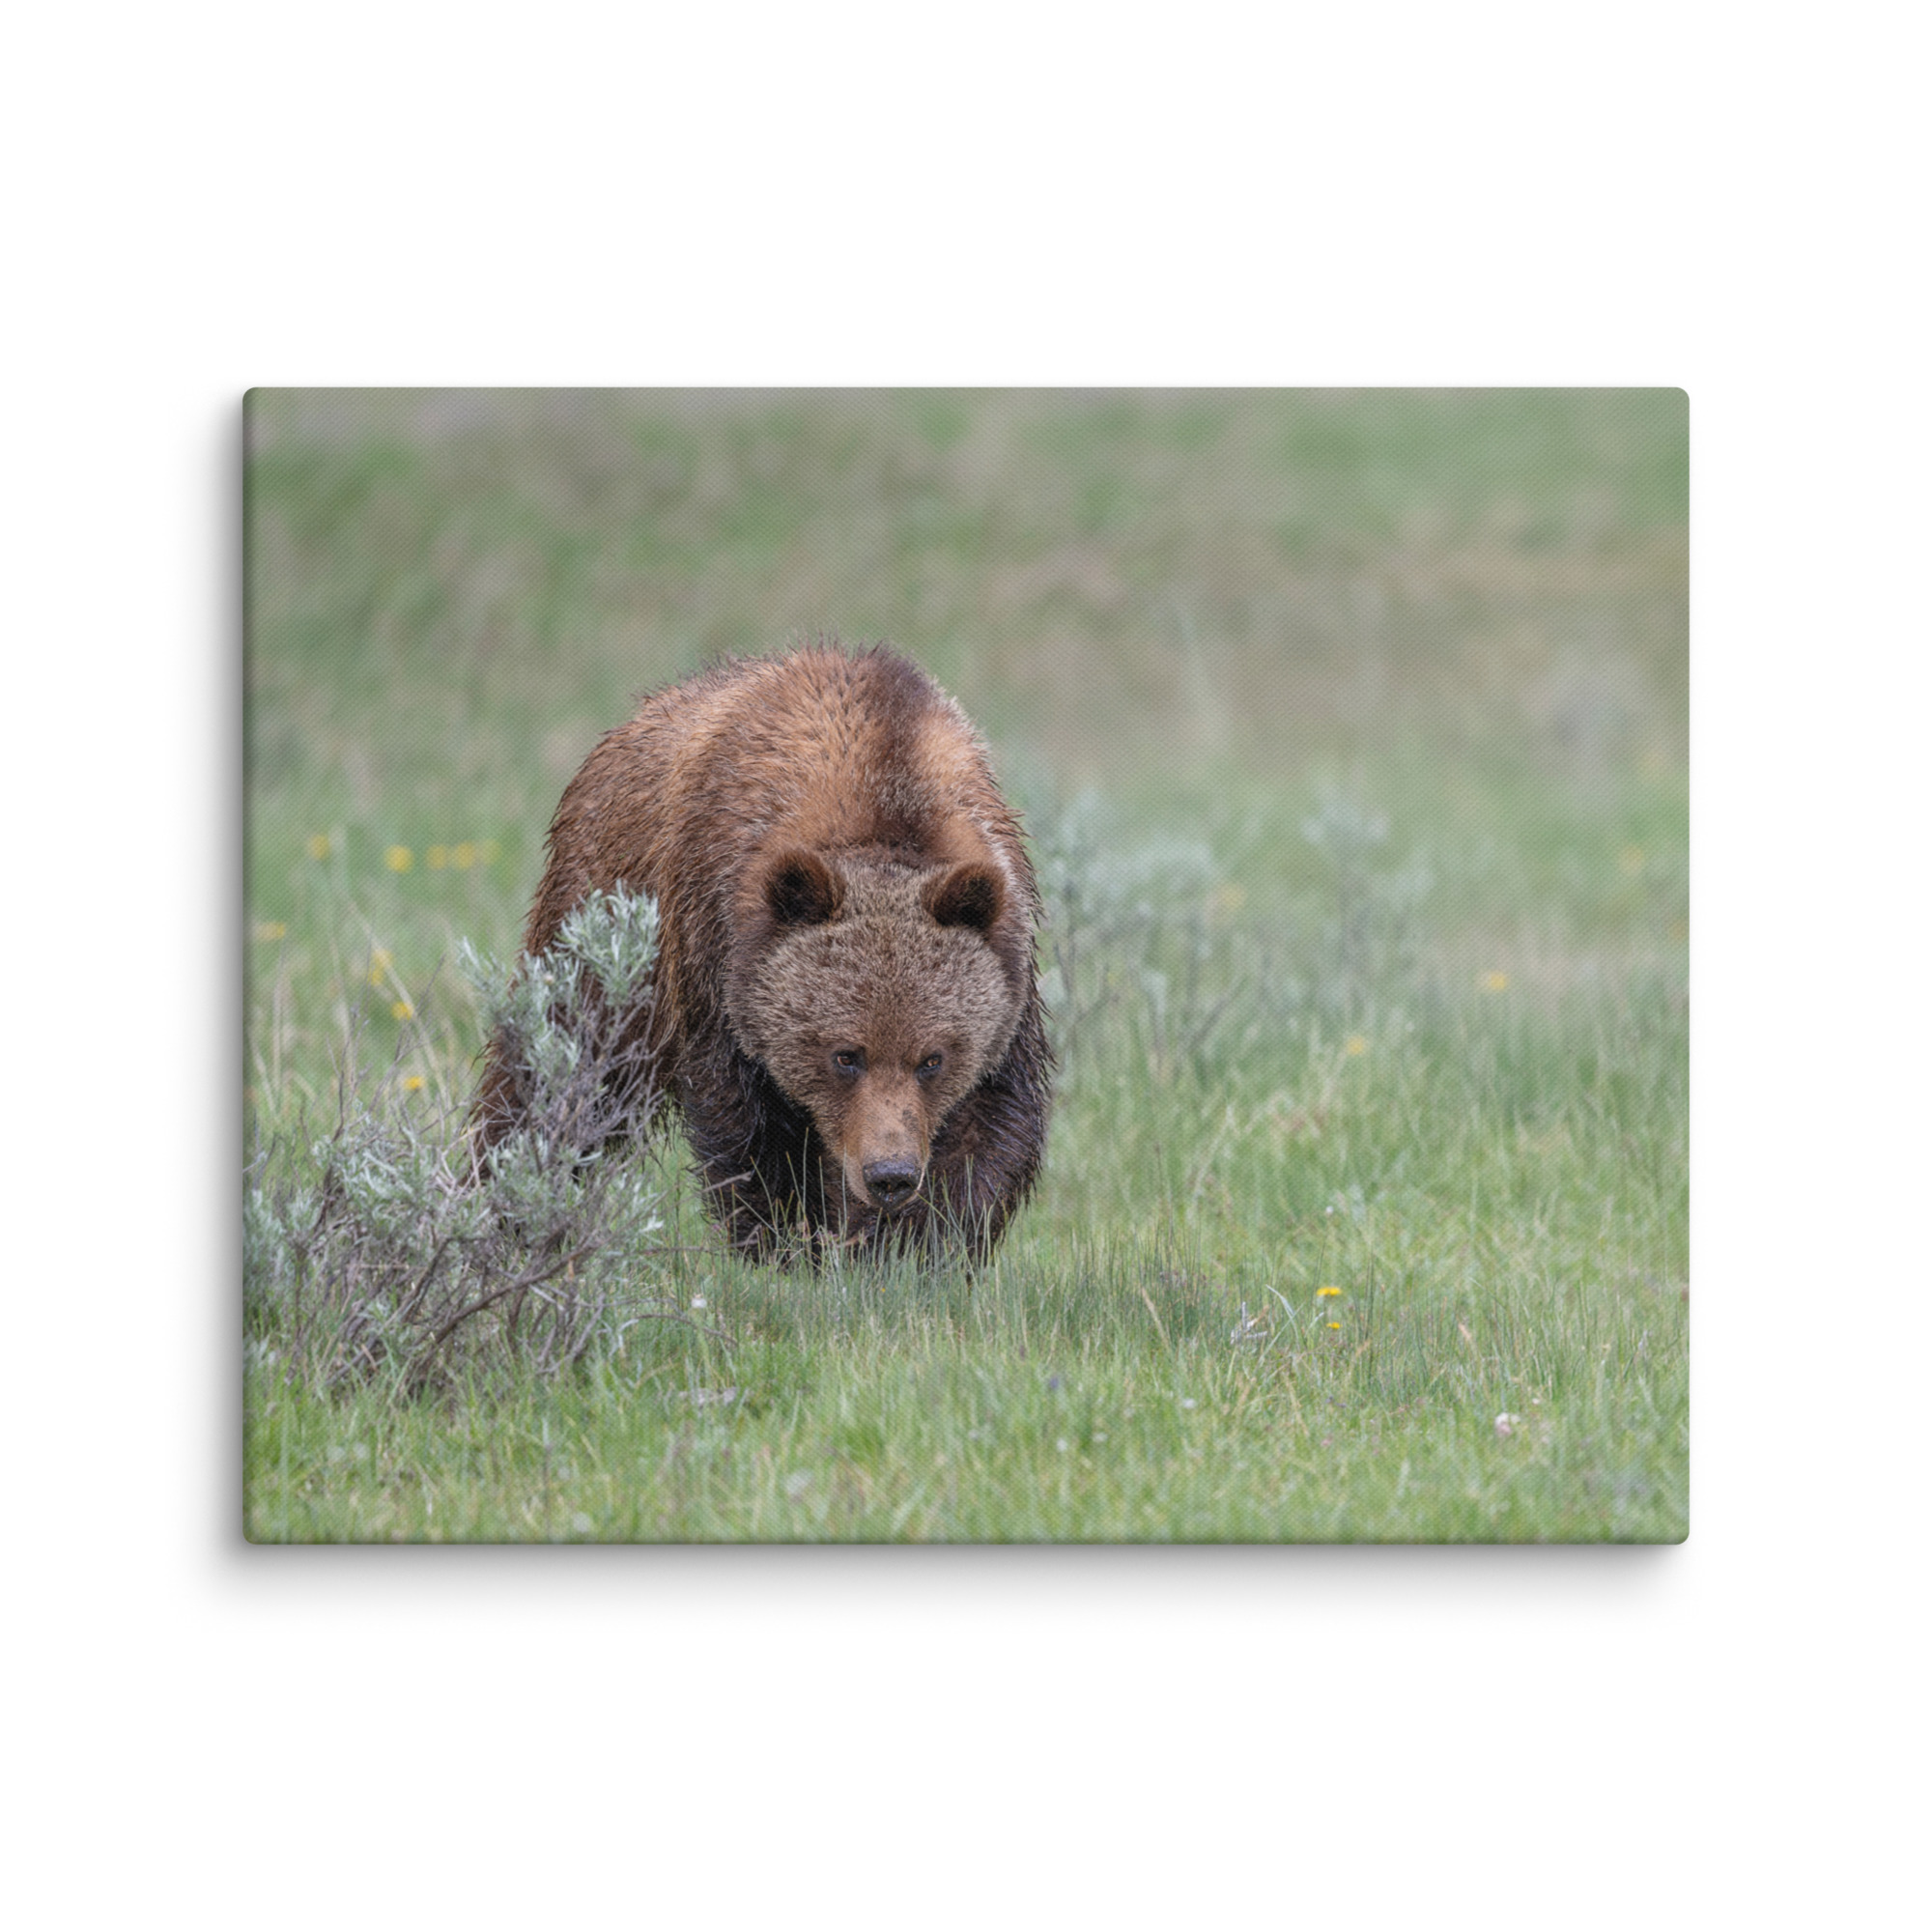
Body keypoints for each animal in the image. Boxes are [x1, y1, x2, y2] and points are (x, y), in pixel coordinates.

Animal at [470, 641, 1054, 1262]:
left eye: (933, 1058)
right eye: (845, 1054)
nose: (889, 1174)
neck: (886, 792)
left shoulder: (1007, 968)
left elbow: (988, 1128)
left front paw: (910, 1247)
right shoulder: (717, 952)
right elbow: (751, 1130)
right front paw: (787, 1243)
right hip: (603, 921)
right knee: (560, 1067)